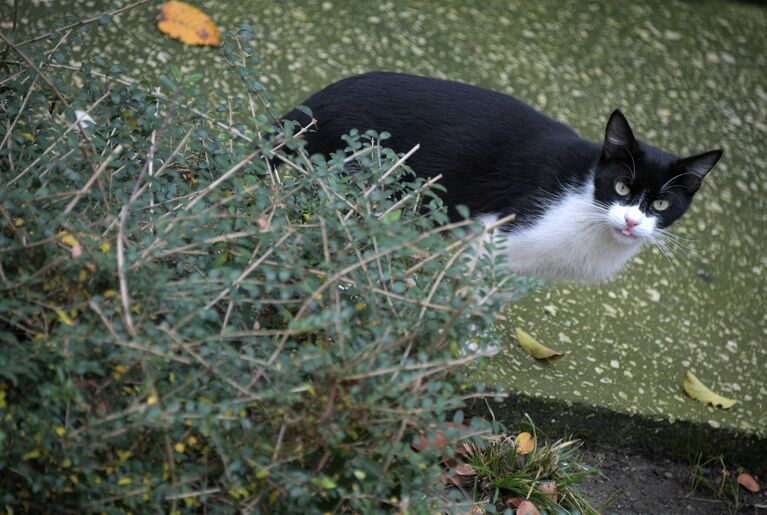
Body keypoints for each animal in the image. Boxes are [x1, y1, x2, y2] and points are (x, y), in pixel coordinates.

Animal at [280, 71, 720, 284]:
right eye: (622, 186)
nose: (631, 220)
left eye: (661, 203)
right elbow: (473, 283)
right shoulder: (495, 232)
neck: (588, 206)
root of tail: (310, 106)